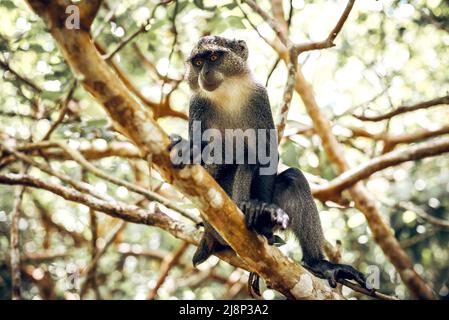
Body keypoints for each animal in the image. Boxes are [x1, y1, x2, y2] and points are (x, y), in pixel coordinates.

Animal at [168, 36, 368, 288]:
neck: (227, 93)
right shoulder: (197, 106)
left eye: (213, 57)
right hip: (214, 222)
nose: (204, 73)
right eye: (197, 62)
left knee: (292, 177)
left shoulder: (258, 96)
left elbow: (267, 153)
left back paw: (313, 260)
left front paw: (260, 211)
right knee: (242, 157)